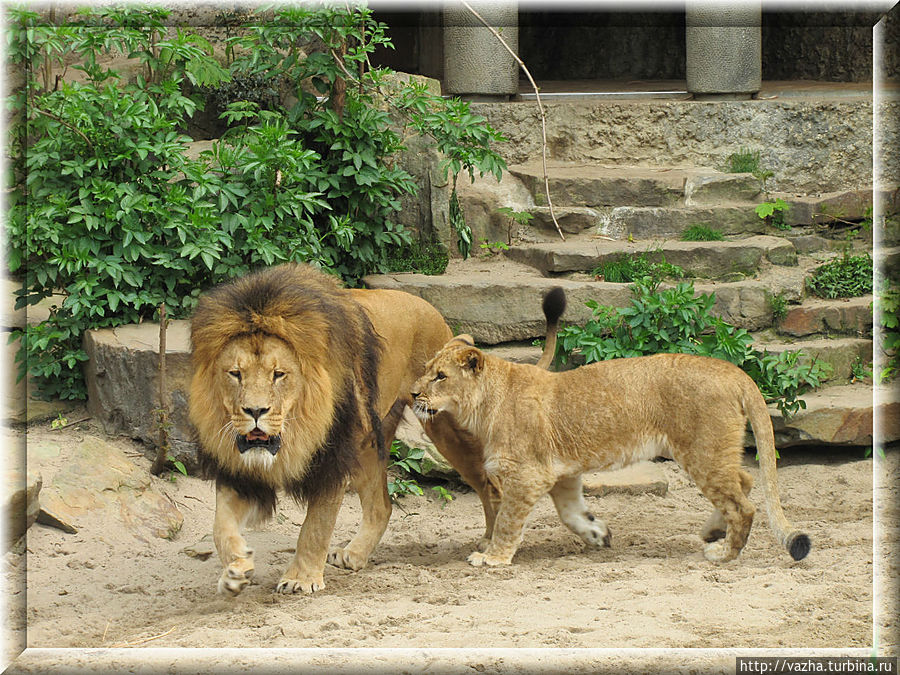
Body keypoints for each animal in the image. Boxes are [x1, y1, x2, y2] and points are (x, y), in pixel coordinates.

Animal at [188, 264, 492, 596]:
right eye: (235, 374)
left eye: (279, 374)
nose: (255, 412)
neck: (295, 434)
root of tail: (431, 309)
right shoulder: (238, 471)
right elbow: (220, 526)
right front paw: (235, 570)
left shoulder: (331, 461)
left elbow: (315, 526)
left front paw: (301, 578)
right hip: (370, 445)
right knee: (381, 506)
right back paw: (354, 555)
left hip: (445, 427)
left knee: (486, 481)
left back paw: (491, 542)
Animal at [412, 288, 812, 568]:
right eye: (426, 369)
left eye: (441, 376)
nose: (413, 392)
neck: (483, 406)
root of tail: (733, 371)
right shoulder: (561, 473)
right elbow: (570, 513)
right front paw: (597, 533)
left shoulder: (528, 475)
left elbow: (508, 520)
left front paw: (492, 557)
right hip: (711, 451)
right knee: (743, 481)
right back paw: (712, 532)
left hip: (702, 451)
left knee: (743, 505)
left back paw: (723, 552)